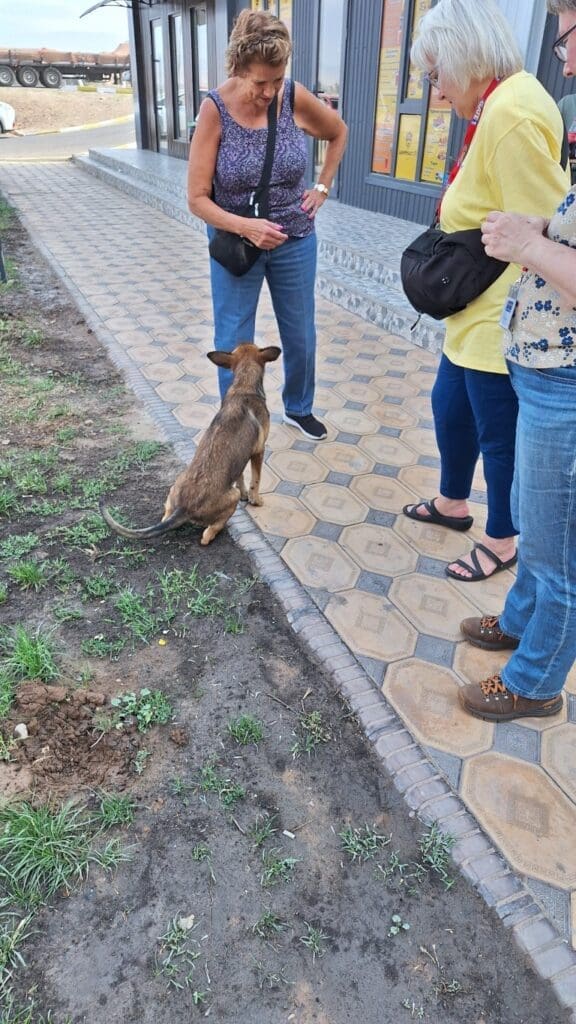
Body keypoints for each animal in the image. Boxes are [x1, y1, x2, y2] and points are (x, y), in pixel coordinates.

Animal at [99, 343, 281, 546]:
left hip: (173, 489)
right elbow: (255, 480)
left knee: (165, 516)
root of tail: (184, 508)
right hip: (228, 498)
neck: (244, 386)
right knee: (208, 534)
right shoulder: (258, 451)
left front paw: (245, 494)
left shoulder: (243, 456)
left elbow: (240, 476)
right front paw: (255, 500)